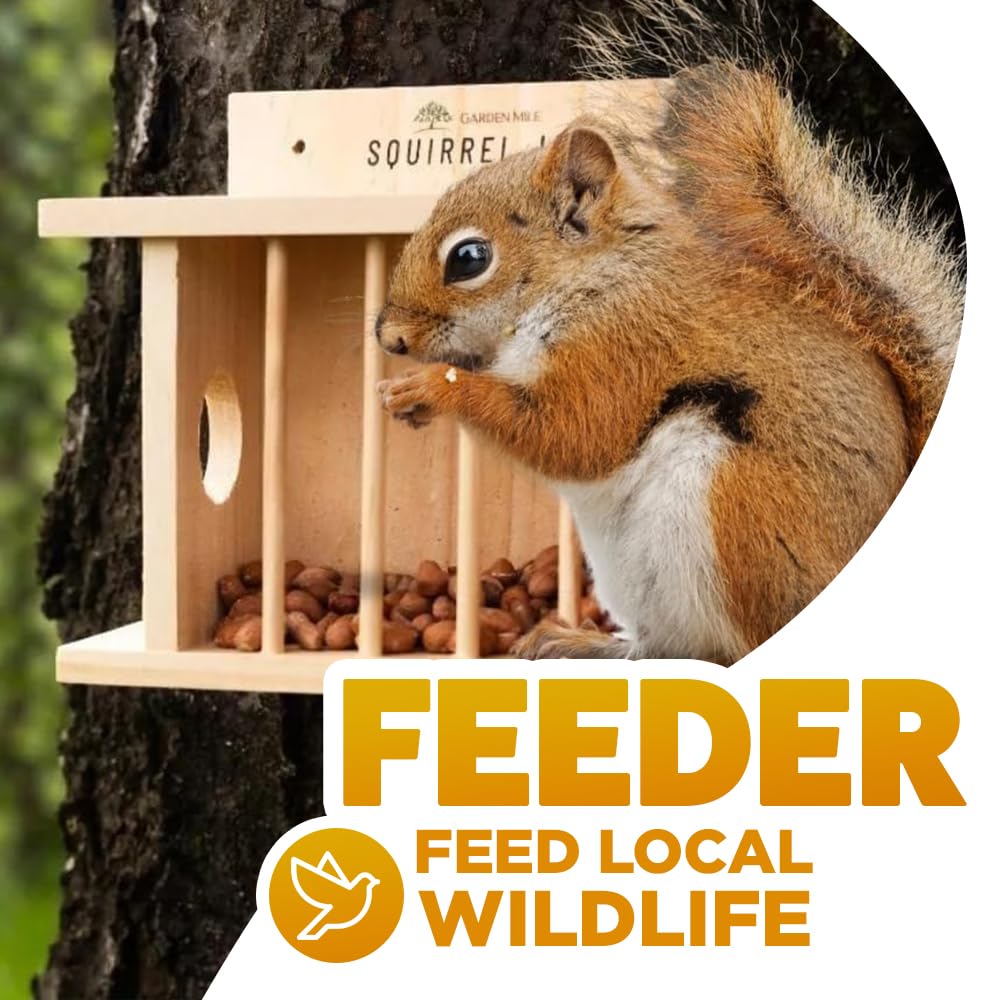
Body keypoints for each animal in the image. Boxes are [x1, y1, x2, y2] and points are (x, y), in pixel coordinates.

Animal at [374, 0, 964, 664]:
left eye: (469, 258)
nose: (388, 337)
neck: (595, 276)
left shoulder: (626, 343)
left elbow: (573, 434)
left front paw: (433, 388)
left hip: (741, 511)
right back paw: (580, 643)